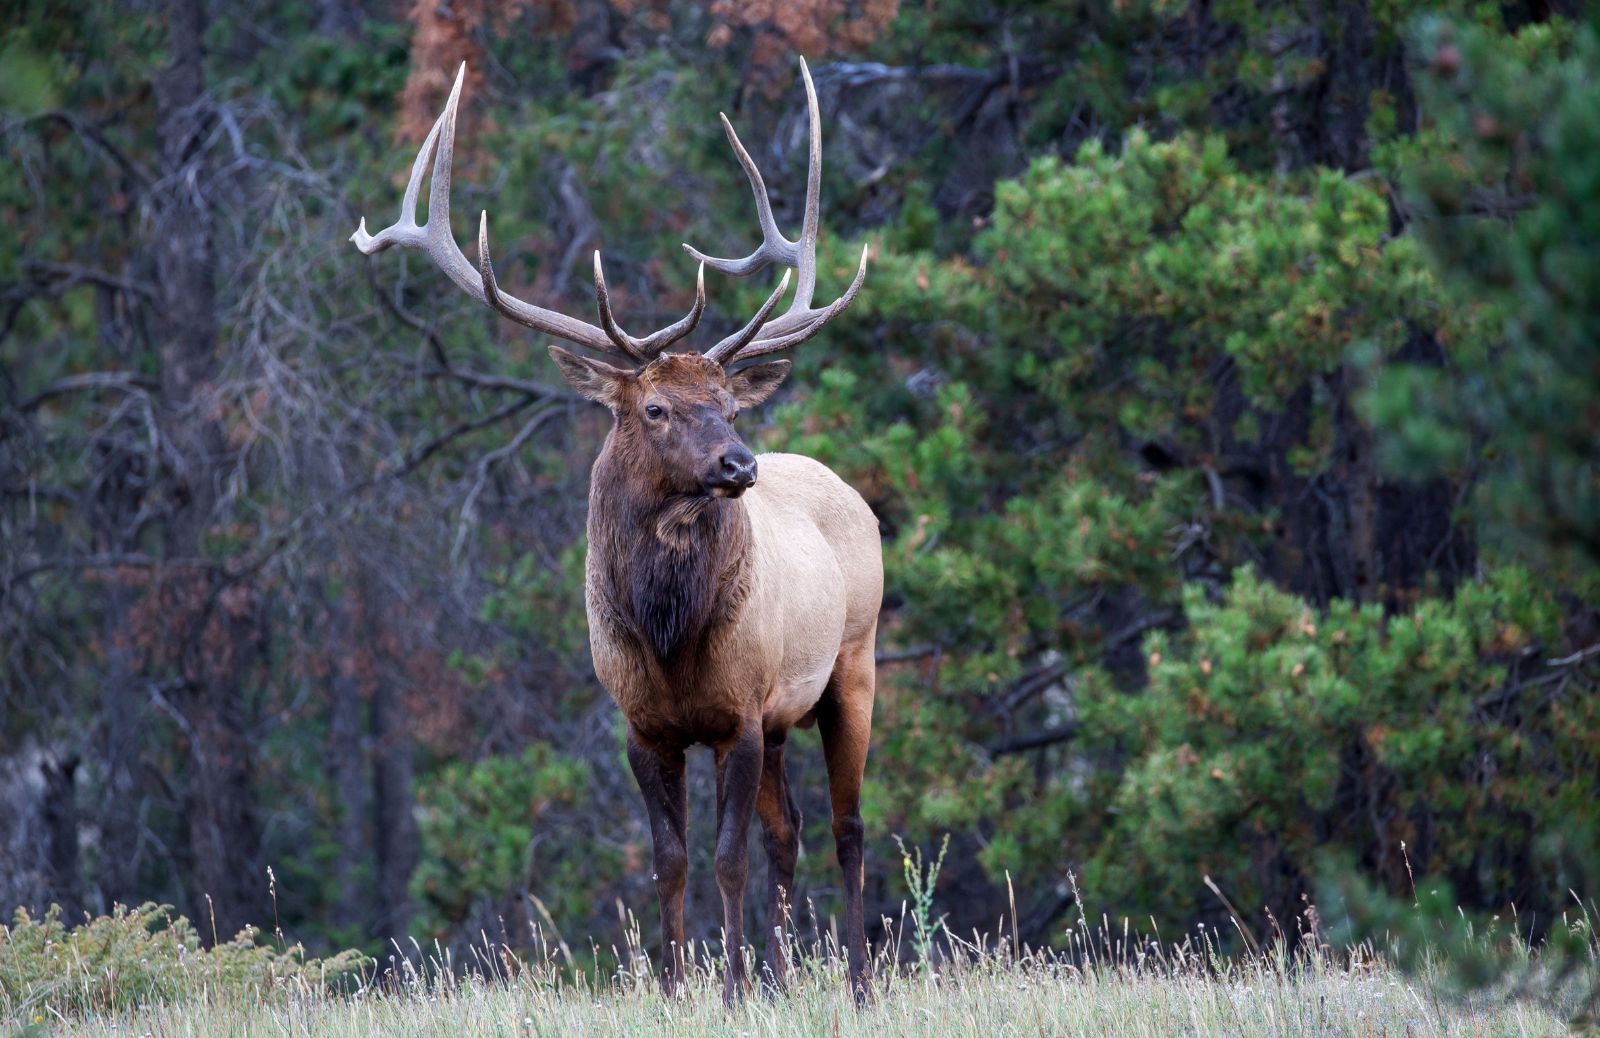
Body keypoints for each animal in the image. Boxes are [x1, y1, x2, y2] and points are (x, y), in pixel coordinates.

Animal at [352, 60, 883, 998]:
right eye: (657, 407)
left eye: (728, 402)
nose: (740, 464)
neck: (668, 634)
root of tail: (847, 490)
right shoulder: (643, 724)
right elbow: (670, 862)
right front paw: (677, 987)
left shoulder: (740, 714)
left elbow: (726, 859)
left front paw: (732, 991)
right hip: (789, 713)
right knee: (791, 834)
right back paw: (787, 978)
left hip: (853, 665)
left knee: (848, 830)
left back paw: (855, 984)